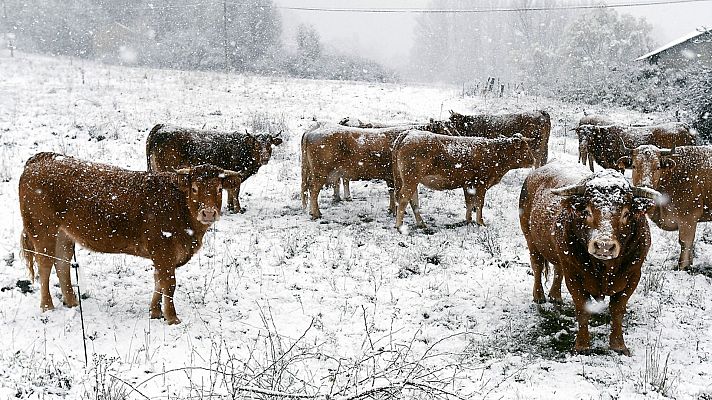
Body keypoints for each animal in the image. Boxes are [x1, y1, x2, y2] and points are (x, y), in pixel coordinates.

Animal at [18, 152, 242, 324]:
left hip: (63, 233)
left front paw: (155, 312)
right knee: (45, 265)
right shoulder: (164, 251)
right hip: (42, 229)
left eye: (219, 189)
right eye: (194, 188)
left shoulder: (162, 256)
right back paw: (47, 306)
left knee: (62, 262)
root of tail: (41, 159)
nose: (209, 213)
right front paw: (172, 318)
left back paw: (72, 301)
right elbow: (168, 284)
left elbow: (158, 282)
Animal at [146, 124, 282, 212]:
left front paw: (230, 207)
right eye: (257, 145)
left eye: (269, 145)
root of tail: (161, 127)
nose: (265, 158)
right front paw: (238, 209)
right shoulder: (236, 174)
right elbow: (235, 192)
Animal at [390, 128, 536, 228]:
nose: (533, 160)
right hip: (411, 178)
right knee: (403, 198)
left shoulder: (468, 184)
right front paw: (480, 222)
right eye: (525, 149)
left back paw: (421, 224)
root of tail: (409, 132)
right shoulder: (481, 183)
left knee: (412, 199)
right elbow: (479, 203)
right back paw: (399, 226)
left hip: (409, 180)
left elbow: (470, 203)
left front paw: (468, 220)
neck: (495, 154)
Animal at [516, 161, 660, 354]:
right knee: (537, 266)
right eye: (587, 211)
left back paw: (555, 295)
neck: (605, 268)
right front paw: (582, 345)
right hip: (530, 240)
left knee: (557, 269)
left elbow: (617, 310)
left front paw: (619, 345)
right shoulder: (574, 275)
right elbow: (582, 308)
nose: (604, 245)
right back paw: (539, 295)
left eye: (626, 213)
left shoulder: (633, 275)